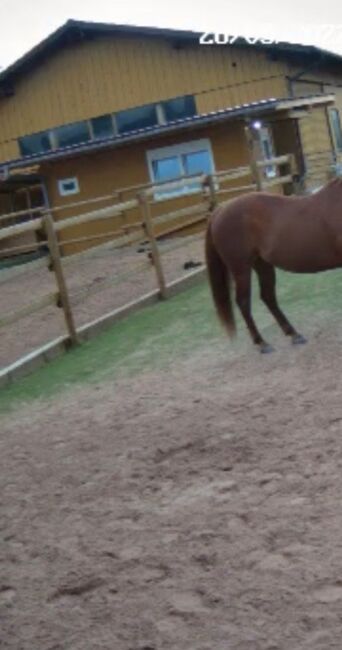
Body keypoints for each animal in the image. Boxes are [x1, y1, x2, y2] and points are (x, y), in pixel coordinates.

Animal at [206, 175, 342, 352]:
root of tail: (220, 210)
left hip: (262, 265)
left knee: (268, 296)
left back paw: (293, 334)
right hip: (241, 269)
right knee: (243, 302)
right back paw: (262, 343)